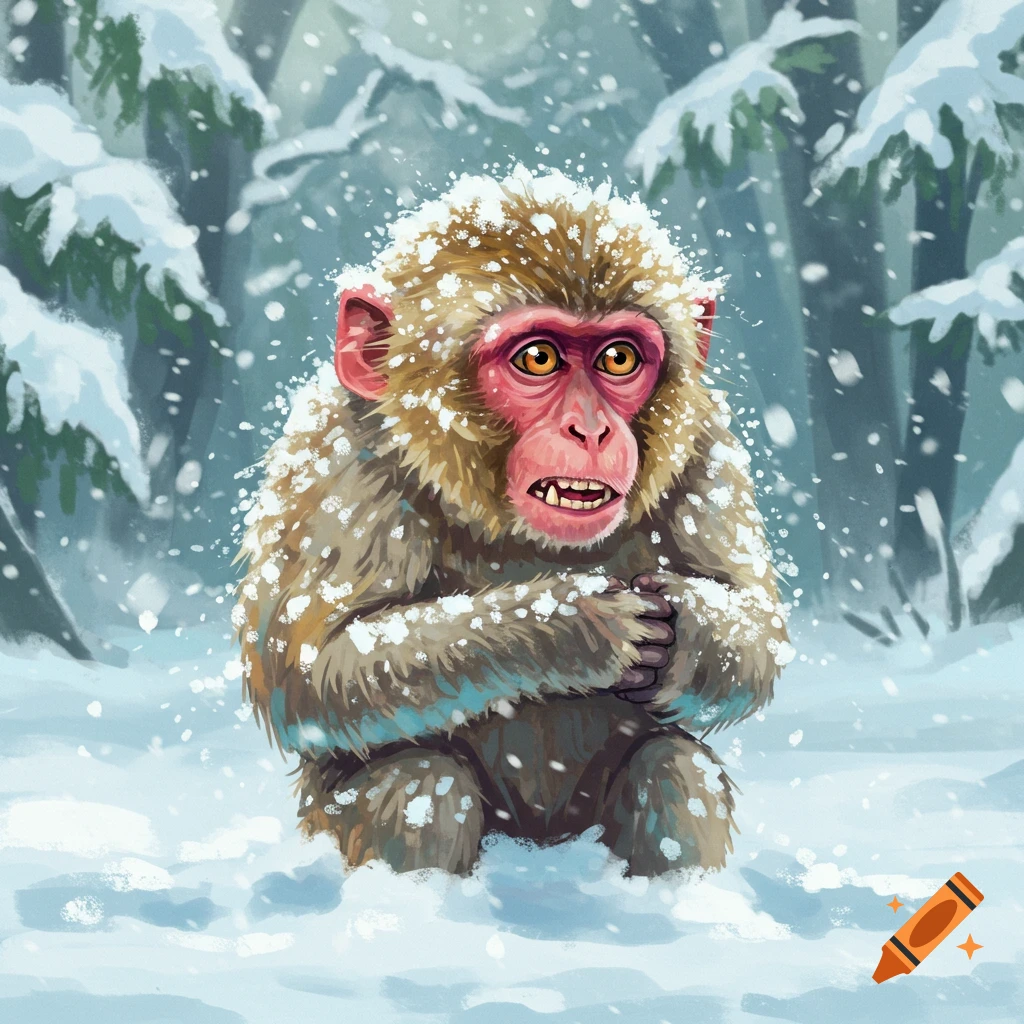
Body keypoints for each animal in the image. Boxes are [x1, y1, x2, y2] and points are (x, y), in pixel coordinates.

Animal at [234, 166, 792, 878]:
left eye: (618, 359)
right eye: (539, 359)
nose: (592, 429)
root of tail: (538, 848)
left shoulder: (705, 442)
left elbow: (758, 626)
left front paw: (682, 634)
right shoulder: (339, 458)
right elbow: (308, 674)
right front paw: (572, 625)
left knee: (674, 767)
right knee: (420, 780)